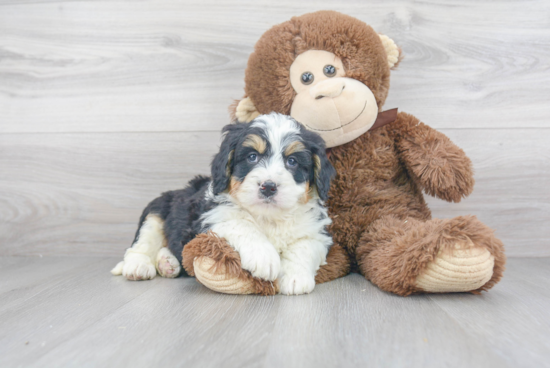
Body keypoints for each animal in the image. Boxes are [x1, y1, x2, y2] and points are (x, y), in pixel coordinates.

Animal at [111, 113, 336, 294]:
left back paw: (168, 263)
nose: (268, 187)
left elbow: (304, 247)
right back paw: (139, 266)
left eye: (292, 162)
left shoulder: (315, 232)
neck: (268, 216)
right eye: (252, 157)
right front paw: (264, 257)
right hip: (155, 212)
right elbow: (242, 224)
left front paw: (295, 278)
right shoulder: (211, 218)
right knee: (142, 243)